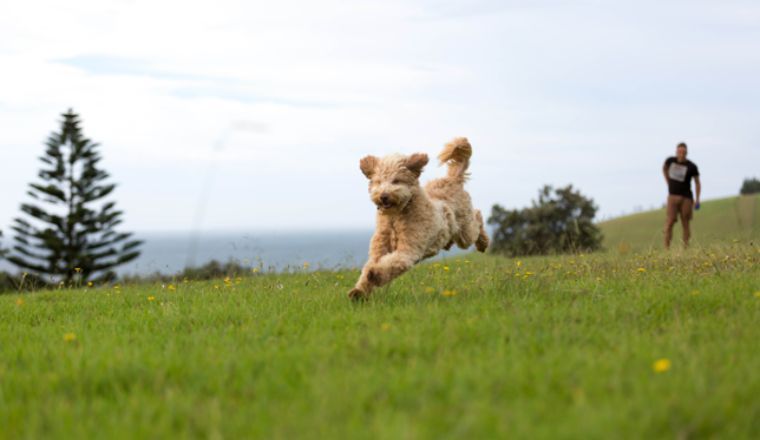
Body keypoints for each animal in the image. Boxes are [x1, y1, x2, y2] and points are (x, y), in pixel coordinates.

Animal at [348, 138, 490, 300]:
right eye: (378, 181)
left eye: (396, 181)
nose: (383, 196)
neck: (395, 217)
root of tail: (452, 180)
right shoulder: (378, 250)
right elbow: (367, 268)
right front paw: (358, 292)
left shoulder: (408, 250)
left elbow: (392, 263)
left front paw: (375, 274)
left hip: (465, 232)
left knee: (477, 218)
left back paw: (483, 243)